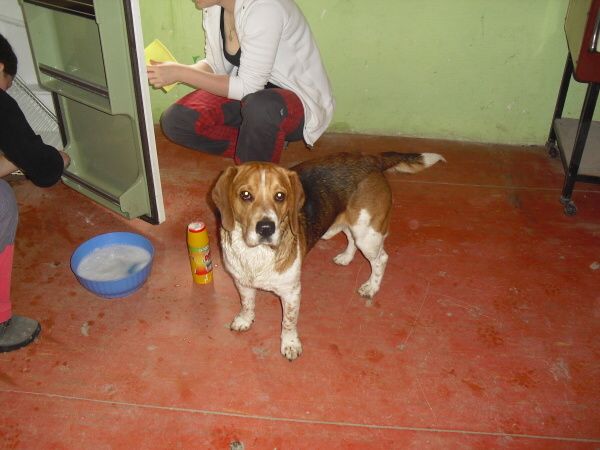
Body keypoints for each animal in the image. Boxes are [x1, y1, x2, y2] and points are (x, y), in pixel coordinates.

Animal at [211, 151, 445, 360]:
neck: (256, 254)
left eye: (280, 196)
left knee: (381, 259)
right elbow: (247, 304)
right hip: (354, 226)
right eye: (245, 195)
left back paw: (371, 287)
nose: (266, 228)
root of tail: (370, 158)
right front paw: (245, 320)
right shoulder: (242, 283)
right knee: (350, 239)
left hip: (367, 235)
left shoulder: (291, 293)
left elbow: (288, 322)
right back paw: (345, 258)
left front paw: (290, 344)